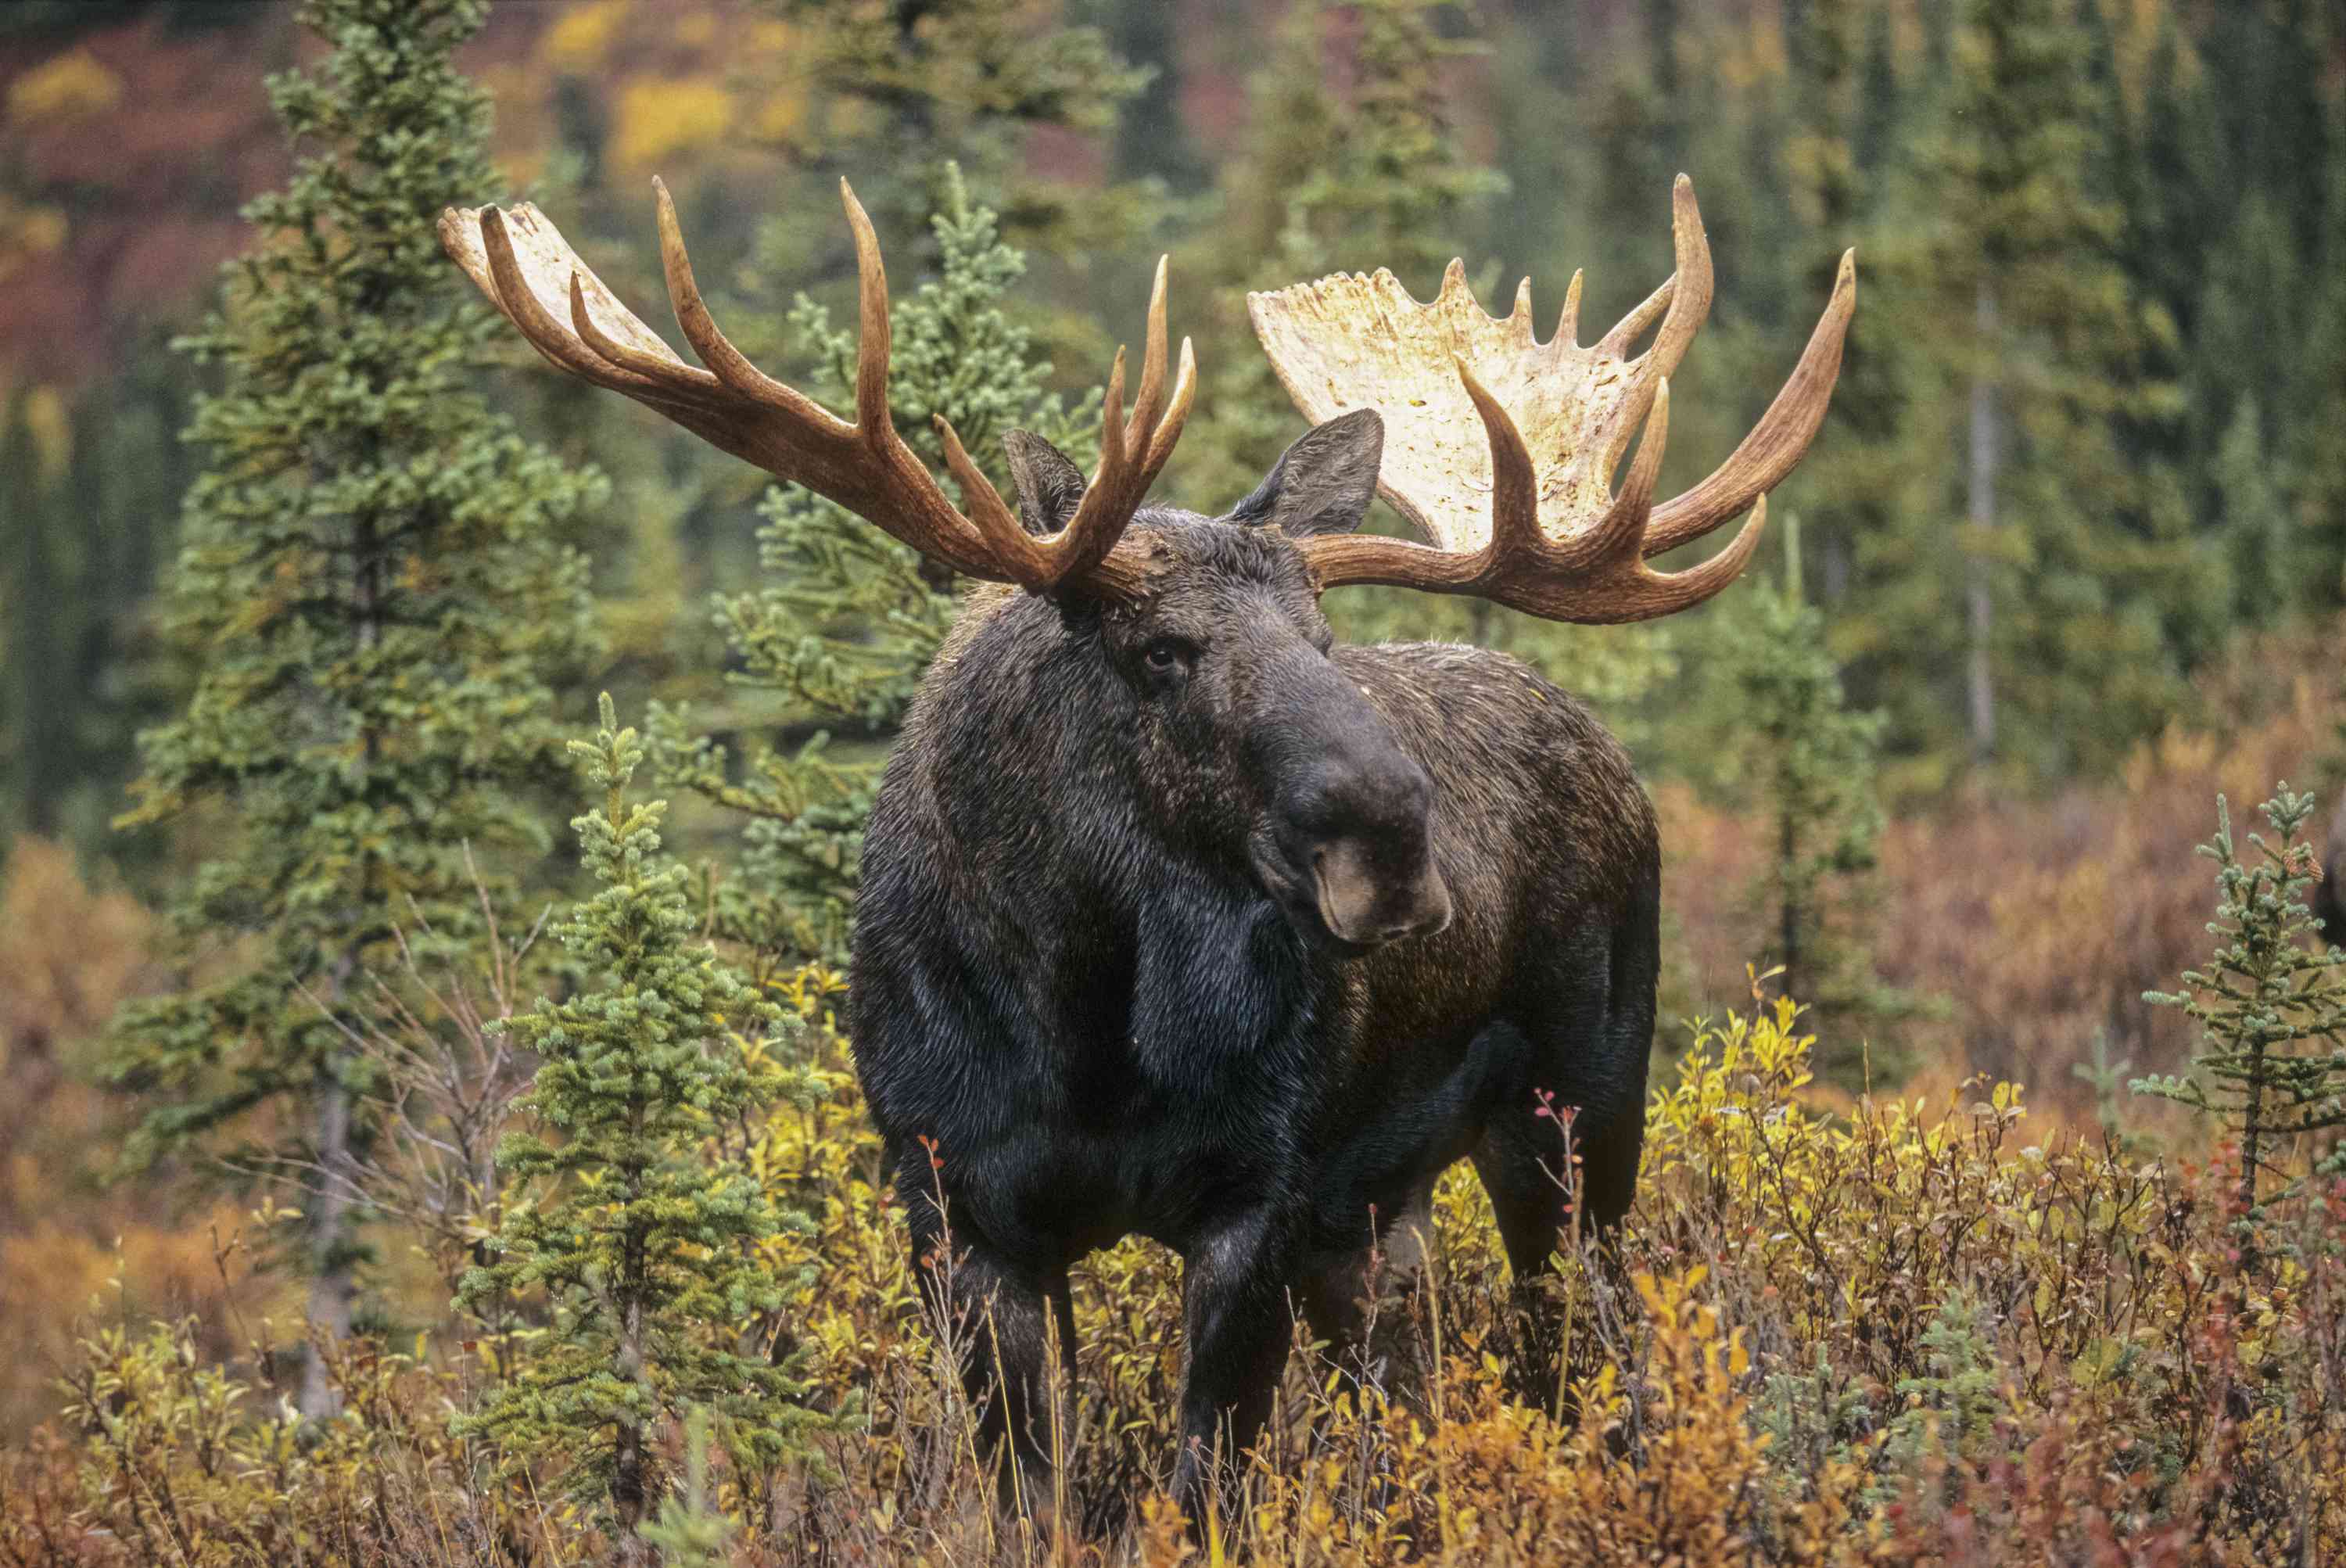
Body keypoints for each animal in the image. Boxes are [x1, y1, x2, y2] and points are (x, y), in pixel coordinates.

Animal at [443, 171, 1849, 1520]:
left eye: (1326, 641)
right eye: (1162, 650)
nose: (1401, 847)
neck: (1084, 1019)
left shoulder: (1260, 1198)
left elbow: (1202, 1486)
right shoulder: (952, 1204)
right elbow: (1034, 1498)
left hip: (1581, 1113)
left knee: (1589, 1370)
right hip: (1379, 1209)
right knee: (1414, 1393)